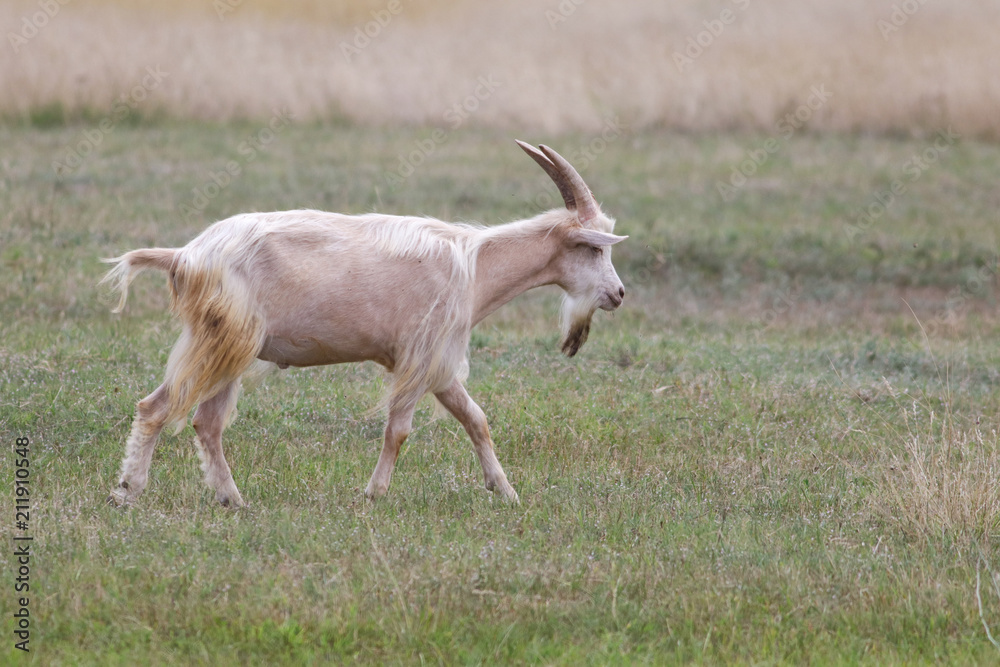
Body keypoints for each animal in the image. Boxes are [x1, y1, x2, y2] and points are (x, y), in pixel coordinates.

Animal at [102, 140, 626, 507]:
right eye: (594, 249)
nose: (619, 294)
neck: (475, 266)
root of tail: (185, 255)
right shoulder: (418, 357)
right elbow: (399, 430)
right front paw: (374, 495)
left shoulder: (437, 364)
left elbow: (476, 420)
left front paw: (507, 493)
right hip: (221, 340)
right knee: (155, 407)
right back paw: (127, 492)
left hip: (229, 349)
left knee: (205, 423)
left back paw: (233, 499)